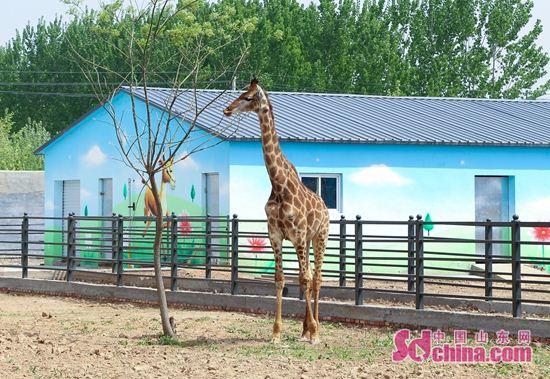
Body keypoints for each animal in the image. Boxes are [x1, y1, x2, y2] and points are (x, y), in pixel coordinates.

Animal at [223, 79, 330, 344]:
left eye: (248, 97)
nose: (227, 109)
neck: (279, 186)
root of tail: (325, 207)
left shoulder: (298, 235)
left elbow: (304, 279)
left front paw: (313, 332)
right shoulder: (275, 236)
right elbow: (280, 279)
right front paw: (276, 333)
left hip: (320, 236)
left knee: (316, 278)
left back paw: (316, 330)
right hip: (307, 240)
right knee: (309, 275)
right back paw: (304, 329)